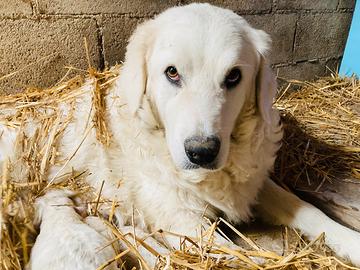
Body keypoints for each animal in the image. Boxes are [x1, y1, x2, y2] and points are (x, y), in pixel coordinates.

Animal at [2, 2, 360, 268]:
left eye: (234, 76)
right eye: (172, 73)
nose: (202, 152)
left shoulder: (252, 184)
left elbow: (308, 209)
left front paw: (351, 242)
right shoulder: (184, 222)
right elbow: (233, 255)